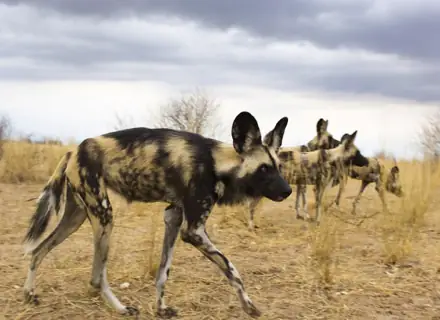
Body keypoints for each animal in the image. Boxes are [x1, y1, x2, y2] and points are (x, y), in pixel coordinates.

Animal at [23, 111, 292, 318]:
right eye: (264, 169)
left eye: (279, 167)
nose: (288, 191)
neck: (216, 163)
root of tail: (73, 151)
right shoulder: (193, 231)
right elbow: (232, 270)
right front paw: (249, 306)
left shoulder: (173, 217)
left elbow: (163, 273)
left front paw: (161, 309)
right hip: (104, 216)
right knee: (96, 277)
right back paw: (122, 309)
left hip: (76, 218)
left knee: (38, 251)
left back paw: (29, 294)